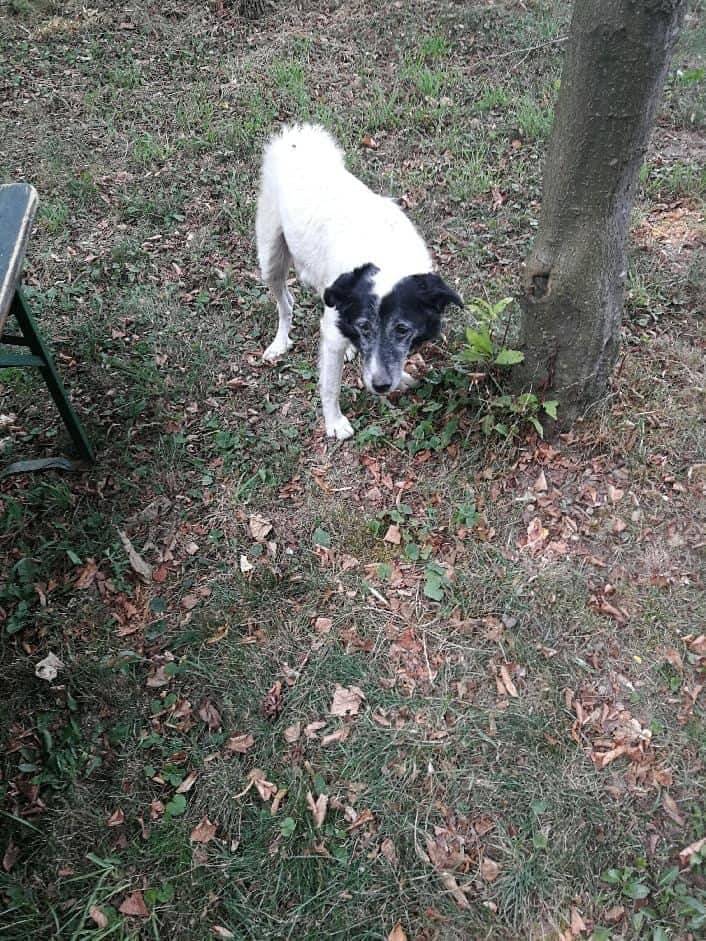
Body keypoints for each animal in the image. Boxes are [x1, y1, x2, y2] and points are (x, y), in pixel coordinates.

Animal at [255, 123, 463, 439]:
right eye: (365, 326)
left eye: (402, 330)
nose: (380, 386)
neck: (386, 252)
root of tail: (297, 139)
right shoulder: (331, 335)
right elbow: (330, 385)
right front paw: (334, 422)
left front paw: (400, 375)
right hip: (270, 258)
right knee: (285, 303)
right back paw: (280, 343)